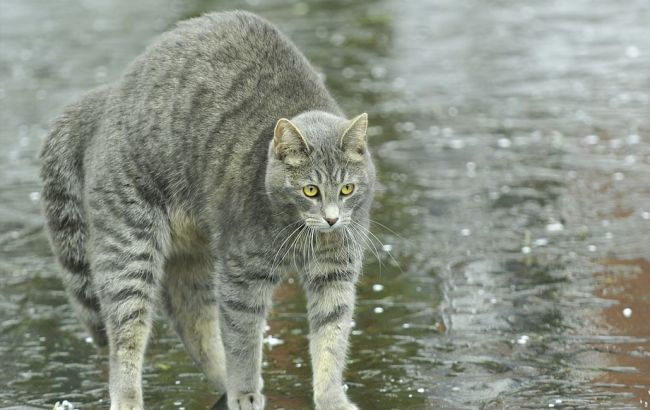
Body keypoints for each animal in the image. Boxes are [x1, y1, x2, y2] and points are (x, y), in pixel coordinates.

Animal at [39, 9, 374, 410]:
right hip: (130, 251)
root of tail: (109, 94)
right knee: (125, 340)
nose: (332, 219)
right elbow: (244, 341)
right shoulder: (243, 277)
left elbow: (331, 341)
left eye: (346, 189)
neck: (300, 232)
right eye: (310, 190)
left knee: (191, 321)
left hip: (192, 257)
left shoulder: (335, 273)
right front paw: (245, 391)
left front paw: (332, 398)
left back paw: (221, 381)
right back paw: (138, 396)